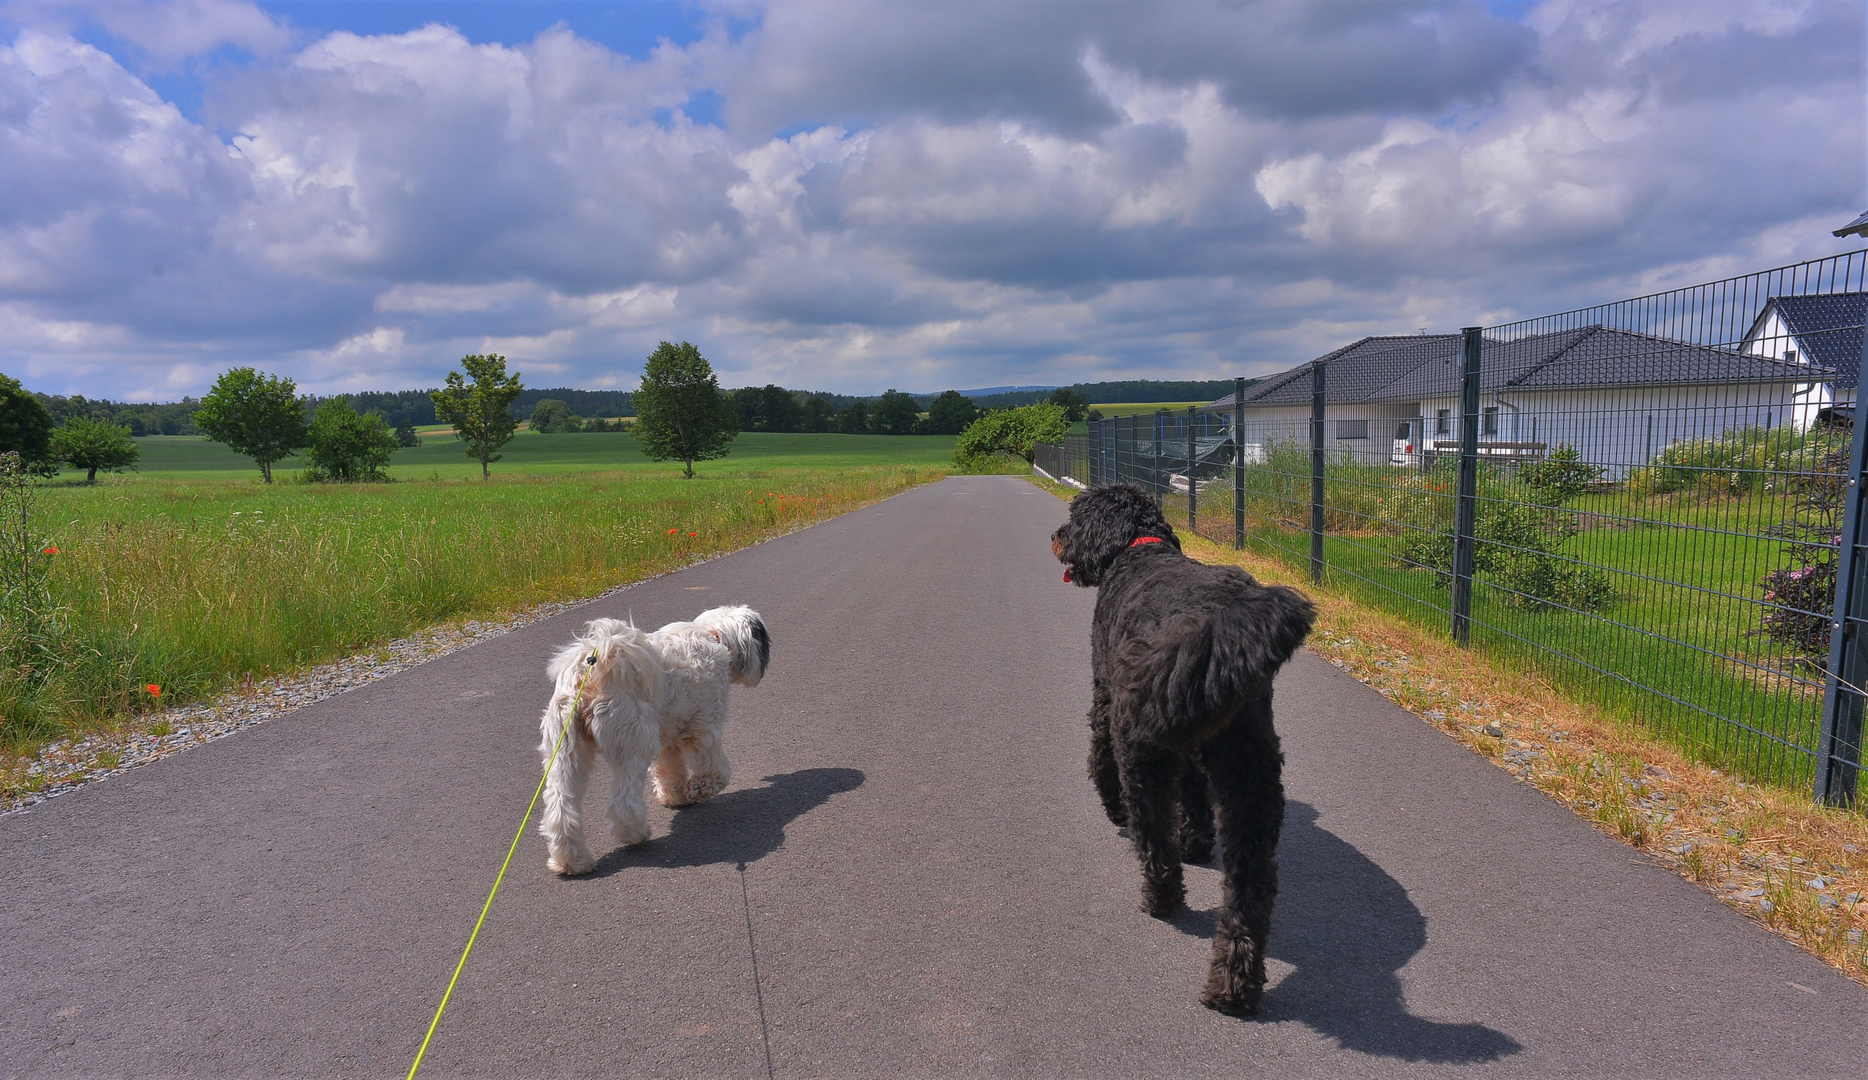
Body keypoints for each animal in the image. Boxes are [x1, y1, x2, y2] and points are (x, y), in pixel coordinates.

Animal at [537, 605, 769, 874]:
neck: (712, 634)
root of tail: (595, 669)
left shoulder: (667, 735)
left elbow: (670, 769)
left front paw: (675, 797)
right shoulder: (704, 725)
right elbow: (714, 769)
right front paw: (700, 789)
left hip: (566, 751)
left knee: (560, 809)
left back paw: (572, 862)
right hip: (632, 745)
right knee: (623, 804)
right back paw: (635, 835)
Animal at [1053, 478, 1315, 1008]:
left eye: (1074, 516)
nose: (1056, 536)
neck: (1139, 547)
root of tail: (1213, 626)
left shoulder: (1107, 699)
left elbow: (1099, 759)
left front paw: (1115, 811)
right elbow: (1194, 798)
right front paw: (1196, 842)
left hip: (1142, 750)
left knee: (1153, 837)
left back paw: (1161, 900)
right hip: (1252, 784)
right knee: (1250, 893)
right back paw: (1234, 984)